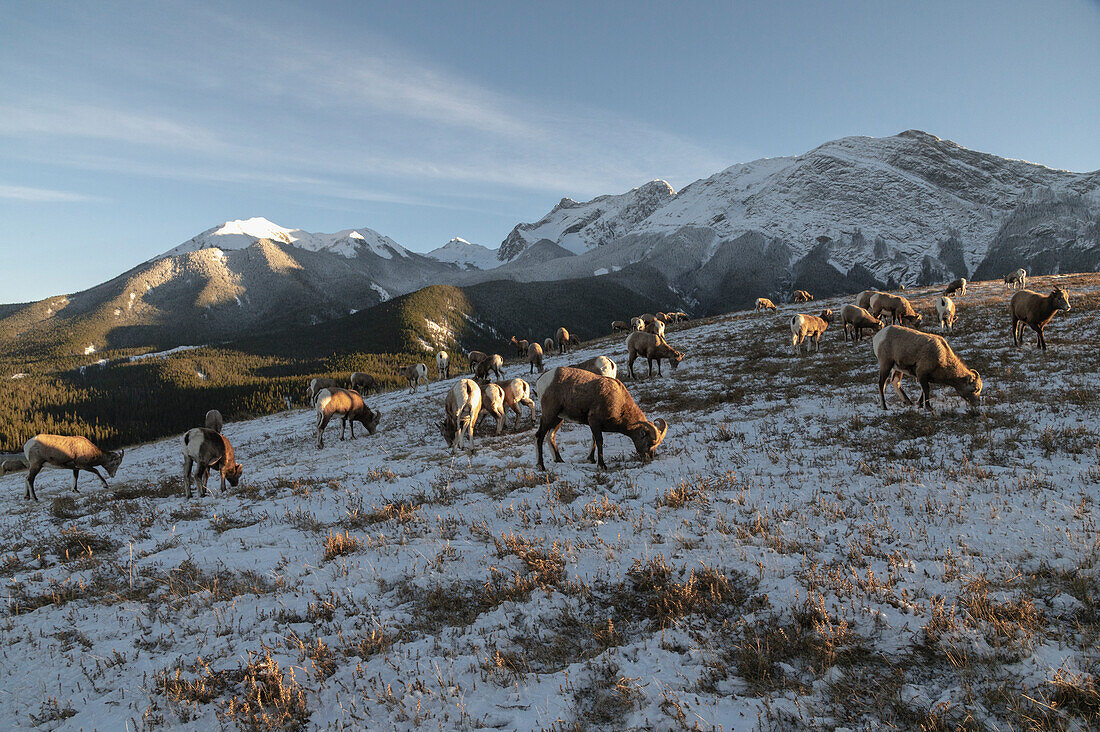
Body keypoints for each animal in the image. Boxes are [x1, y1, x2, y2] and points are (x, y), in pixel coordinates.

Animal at [534, 367, 668, 471]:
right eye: (649, 443)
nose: (649, 459)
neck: (619, 402)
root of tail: (541, 381)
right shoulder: (594, 422)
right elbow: (599, 441)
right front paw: (602, 466)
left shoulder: (594, 425)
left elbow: (593, 440)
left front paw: (591, 460)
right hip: (550, 414)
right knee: (539, 436)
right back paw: (541, 466)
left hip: (558, 418)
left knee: (550, 436)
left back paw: (559, 460)